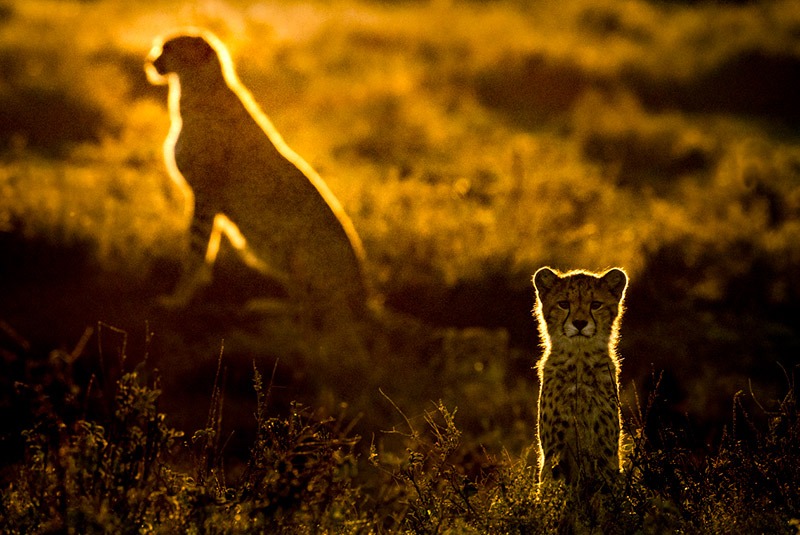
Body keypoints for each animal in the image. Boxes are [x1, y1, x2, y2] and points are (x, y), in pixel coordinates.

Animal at [145, 29, 368, 322]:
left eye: (168, 48)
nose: (151, 61)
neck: (199, 87)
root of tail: (365, 299)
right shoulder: (208, 200)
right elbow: (205, 249)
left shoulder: (205, 196)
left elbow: (197, 251)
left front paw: (177, 301)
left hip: (296, 254)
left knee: (312, 314)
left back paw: (273, 310)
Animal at [536, 266, 628, 492]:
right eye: (564, 304)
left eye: (595, 304)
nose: (579, 323)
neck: (578, 360)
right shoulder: (555, 450)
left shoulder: (604, 450)